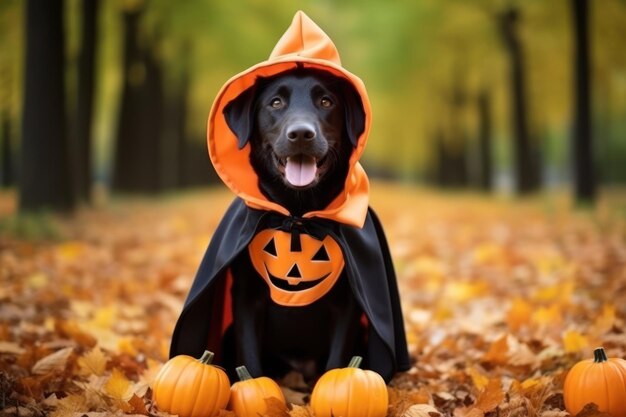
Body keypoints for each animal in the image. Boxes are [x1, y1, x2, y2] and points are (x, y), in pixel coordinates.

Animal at [222, 68, 366, 380]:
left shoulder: (347, 303)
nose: (301, 134)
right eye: (276, 103)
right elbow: (250, 363)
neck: (297, 212)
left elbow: (337, 363)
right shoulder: (246, 297)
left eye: (326, 102)